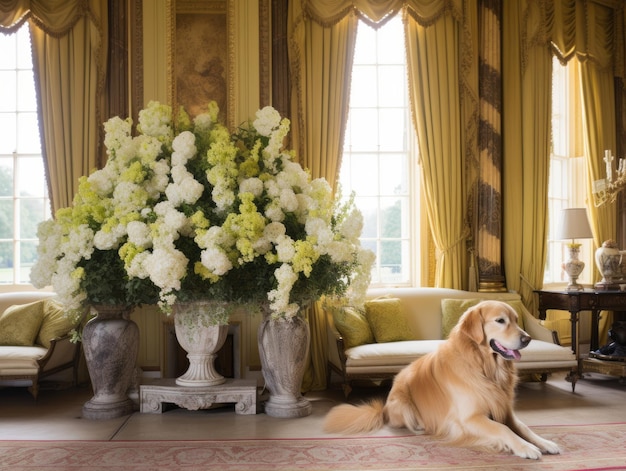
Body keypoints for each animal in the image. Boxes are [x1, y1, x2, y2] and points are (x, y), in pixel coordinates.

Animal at [324, 300, 560, 460]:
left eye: (516, 320)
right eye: (500, 321)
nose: (528, 338)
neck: (484, 367)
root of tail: (384, 407)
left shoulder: (504, 408)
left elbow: (524, 427)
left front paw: (545, 443)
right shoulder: (470, 418)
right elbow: (504, 430)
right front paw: (526, 448)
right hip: (403, 403)